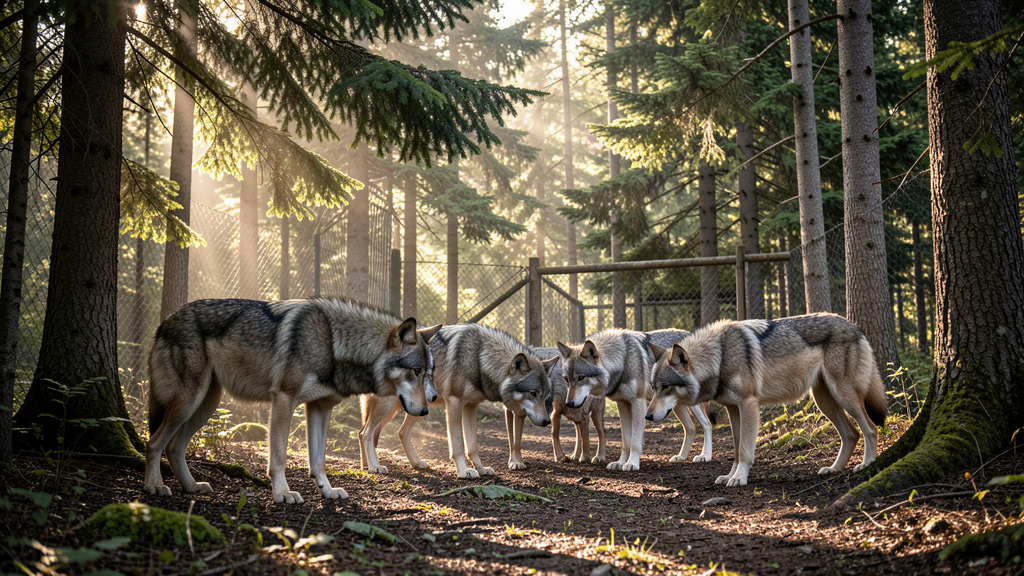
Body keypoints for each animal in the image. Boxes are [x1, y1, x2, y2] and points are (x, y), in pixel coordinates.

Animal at [144, 298, 441, 504]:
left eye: (429, 373)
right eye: (415, 372)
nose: (427, 409)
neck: (333, 343)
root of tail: (164, 321)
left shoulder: (320, 407)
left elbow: (318, 460)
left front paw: (327, 490)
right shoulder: (284, 400)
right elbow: (279, 457)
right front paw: (283, 493)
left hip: (206, 405)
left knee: (174, 447)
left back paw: (192, 487)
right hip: (188, 402)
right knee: (155, 443)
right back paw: (155, 486)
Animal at [359, 323, 556, 478]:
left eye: (545, 394)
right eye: (533, 393)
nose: (547, 421)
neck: (479, 358)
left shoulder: (471, 406)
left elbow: (473, 446)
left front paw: (481, 469)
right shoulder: (454, 402)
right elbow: (458, 444)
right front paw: (464, 471)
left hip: (414, 408)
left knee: (396, 432)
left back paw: (394, 464)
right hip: (389, 407)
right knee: (365, 433)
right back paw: (374, 466)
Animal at [649, 313, 889, 487]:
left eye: (665, 387)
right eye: (653, 387)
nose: (648, 416)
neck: (721, 357)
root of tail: (855, 326)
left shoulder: (749, 405)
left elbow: (745, 450)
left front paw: (739, 478)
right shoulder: (733, 409)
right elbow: (736, 451)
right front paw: (729, 476)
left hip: (844, 396)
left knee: (870, 429)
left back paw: (867, 464)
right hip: (824, 402)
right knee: (851, 434)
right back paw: (834, 469)